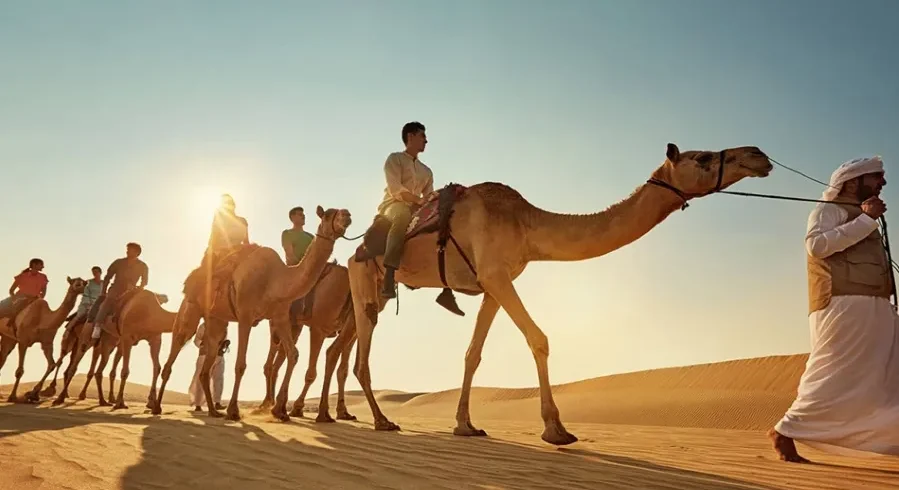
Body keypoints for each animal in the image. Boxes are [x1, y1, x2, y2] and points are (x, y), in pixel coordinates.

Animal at [256, 260, 358, 421]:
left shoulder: (351, 331)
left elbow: (343, 370)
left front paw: (343, 412)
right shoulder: (318, 329)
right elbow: (311, 373)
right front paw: (297, 409)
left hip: (294, 326)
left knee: (279, 359)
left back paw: (272, 403)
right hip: (280, 324)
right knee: (272, 361)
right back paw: (268, 403)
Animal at [340, 143, 774, 445]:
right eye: (702, 157)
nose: (758, 155)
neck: (525, 223)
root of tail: (355, 248)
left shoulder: (493, 284)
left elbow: (473, 354)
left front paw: (465, 425)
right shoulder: (497, 275)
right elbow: (539, 338)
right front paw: (556, 429)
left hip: (377, 289)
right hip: (363, 278)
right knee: (362, 348)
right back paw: (381, 420)